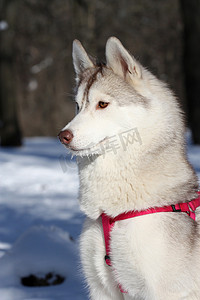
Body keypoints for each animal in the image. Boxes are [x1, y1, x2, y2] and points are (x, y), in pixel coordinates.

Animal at [58, 38, 199, 300]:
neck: (111, 213)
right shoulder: (102, 289)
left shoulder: (163, 292)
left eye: (102, 104)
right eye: (78, 106)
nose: (63, 136)